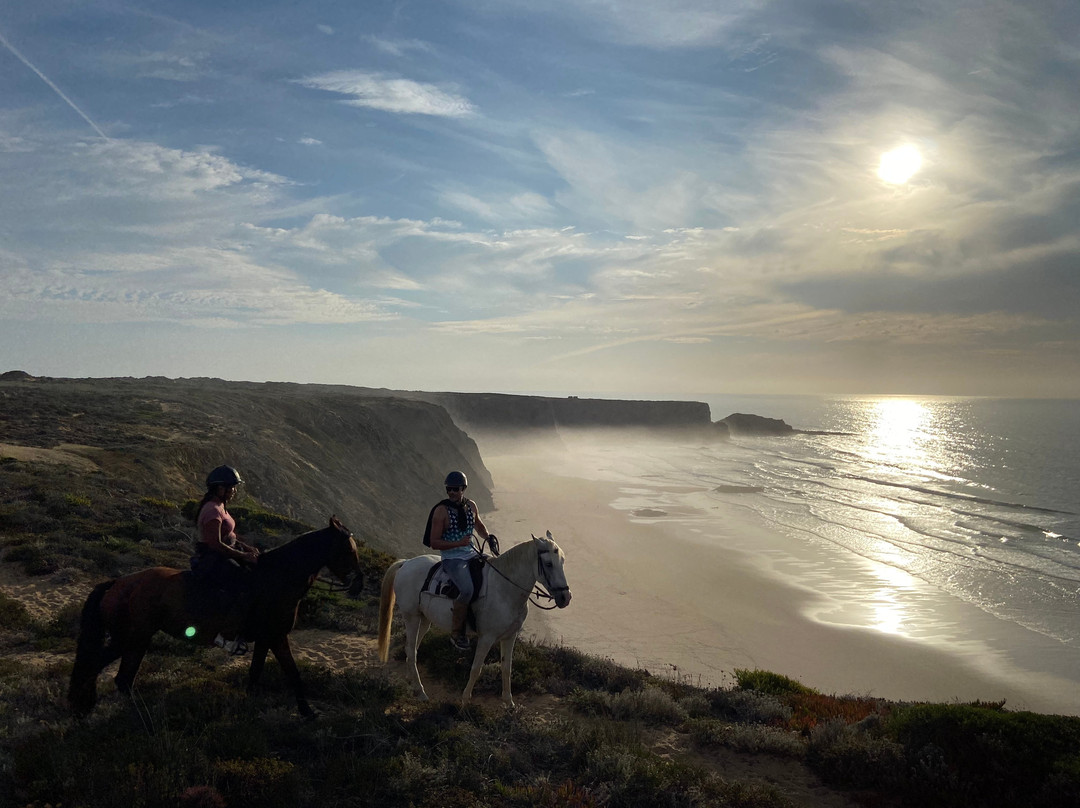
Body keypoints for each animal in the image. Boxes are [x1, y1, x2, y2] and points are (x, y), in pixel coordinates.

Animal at [69, 514, 360, 717]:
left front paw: (254, 706)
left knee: (123, 679)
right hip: (131, 638)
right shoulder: (276, 636)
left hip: (137, 640)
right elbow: (290, 672)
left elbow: (261, 672)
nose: (358, 583)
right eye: (348, 549)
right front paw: (306, 712)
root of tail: (117, 583)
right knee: (98, 668)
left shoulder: (268, 639)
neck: (278, 578)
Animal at [375, 533, 570, 704]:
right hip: (412, 618)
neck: (504, 589)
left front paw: (509, 702)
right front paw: (465, 700)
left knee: (412, 650)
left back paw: (413, 684)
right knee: (411, 649)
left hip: (424, 620)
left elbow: (507, 668)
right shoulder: (486, 638)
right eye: (548, 564)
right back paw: (421, 692)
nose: (565, 597)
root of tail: (406, 563)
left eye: (563, 561)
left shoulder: (510, 636)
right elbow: (476, 668)